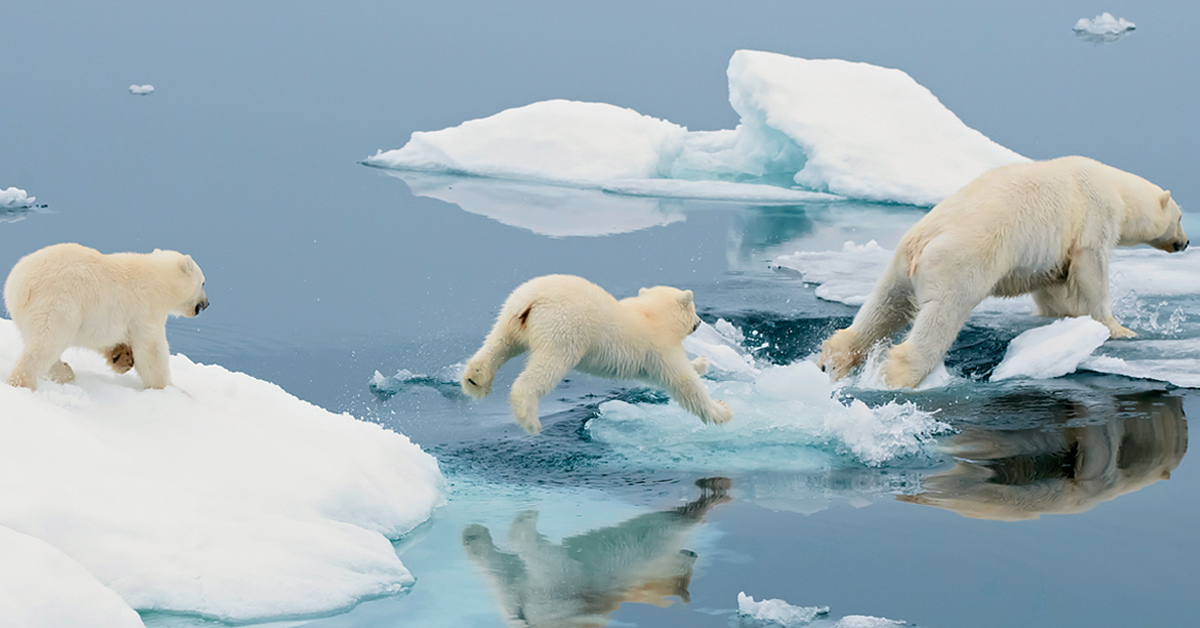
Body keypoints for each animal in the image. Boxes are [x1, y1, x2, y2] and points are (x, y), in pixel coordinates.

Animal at [4, 243, 208, 391]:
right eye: (204, 282)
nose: (206, 303)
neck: (158, 279)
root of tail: (20, 284)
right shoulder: (145, 309)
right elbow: (151, 350)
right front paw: (171, 389)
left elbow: (103, 337)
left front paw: (122, 356)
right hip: (58, 303)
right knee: (46, 343)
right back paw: (22, 383)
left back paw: (64, 372)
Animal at [460, 277, 729, 434]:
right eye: (694, 309)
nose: (699, 322)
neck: (650, 315)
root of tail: (532, 299)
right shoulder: (658, 346)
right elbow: (682, 382)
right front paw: (722, 410)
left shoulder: (642, 358)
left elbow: (653, 376)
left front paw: (703, 361)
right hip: (564, 331)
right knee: (544, 370)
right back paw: (530, 420)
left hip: (511, 314)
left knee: (499, 343)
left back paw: (475, 379)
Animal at [820, 157, 1185, 389]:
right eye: (1181, 217)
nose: (1185, 242)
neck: (1116, 188)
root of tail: (926, 239)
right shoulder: (1094, 217)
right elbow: (1091, 270)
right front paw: (1119, 328)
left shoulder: (1050, 254)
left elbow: (1053, 287)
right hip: (960, 263)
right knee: (940, 316)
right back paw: (899, 375)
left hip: (901, 261)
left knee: (884, 305)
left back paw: (832, 360)